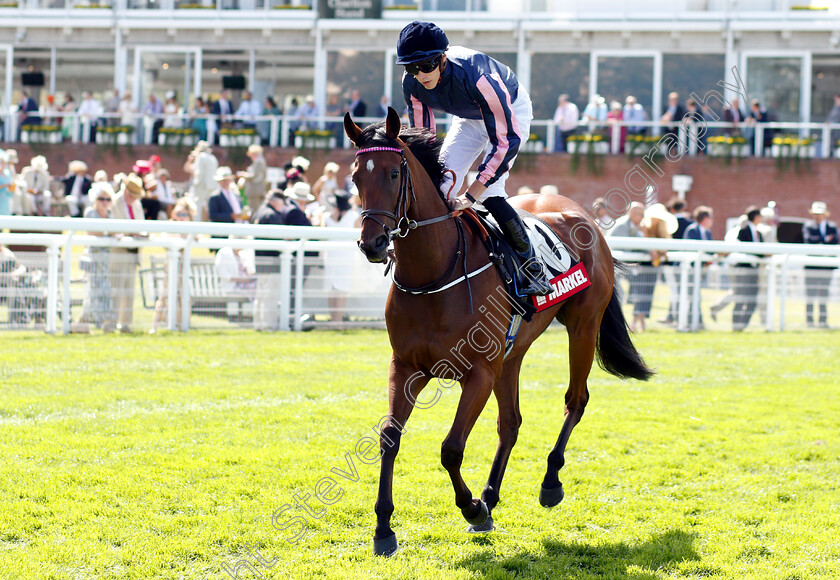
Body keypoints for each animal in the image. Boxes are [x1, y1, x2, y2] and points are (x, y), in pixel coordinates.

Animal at [344, 109, 652, 556]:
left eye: (393, 173)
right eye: (355, 177)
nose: (373, 243)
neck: (434, 273)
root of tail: (583, 215)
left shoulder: (478, 374)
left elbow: (451, 448)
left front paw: (471, 508)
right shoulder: (406, 366)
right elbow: (389, 437)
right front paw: (384, 528)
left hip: (582, 326)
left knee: (575, 401)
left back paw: (549, 482)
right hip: (513, 352)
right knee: (511, 422)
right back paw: (491, 494)